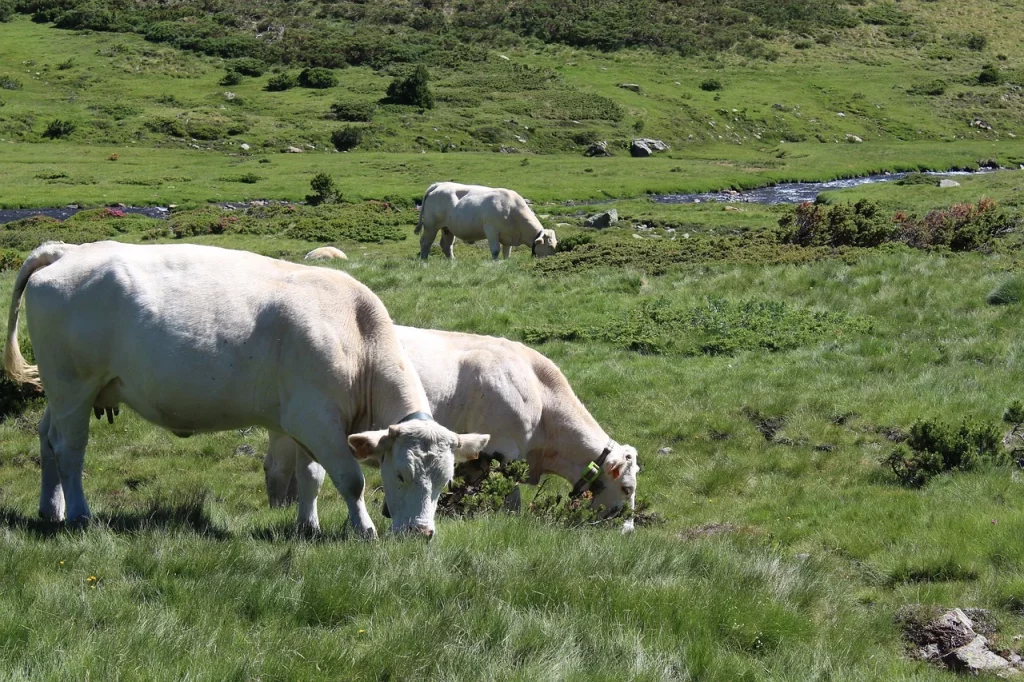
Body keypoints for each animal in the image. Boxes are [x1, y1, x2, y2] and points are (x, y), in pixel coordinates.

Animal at [3, 240, 491, 536]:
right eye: (401, 474)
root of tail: (68, 250)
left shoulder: (304, 423)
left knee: (47, 438)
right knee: (70, 449)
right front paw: (364, 529)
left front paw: (308, 526)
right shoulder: (315, 420)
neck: (355, 334)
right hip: (73, 386)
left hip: (64, 390)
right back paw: (78, 515)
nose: (421, 534)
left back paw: (51, 509)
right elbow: (350, 480)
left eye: (445, 481)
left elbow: (311, 477)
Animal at [415, 182, 561, 259]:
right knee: (426, 242)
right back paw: (424, 261)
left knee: (446, 245)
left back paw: (452, 262)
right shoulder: (491, 230)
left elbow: (507, 252)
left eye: (555, 244)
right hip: (431, 225)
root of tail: (439, 184)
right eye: (549, 245)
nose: (553, 259)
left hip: (448, 228)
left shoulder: (508, 236)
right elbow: (495, 250)